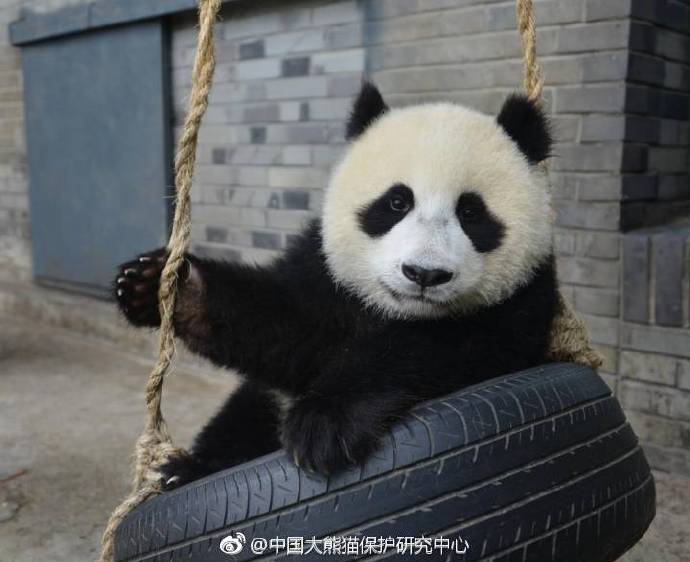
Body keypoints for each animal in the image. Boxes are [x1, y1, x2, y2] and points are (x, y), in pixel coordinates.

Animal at [114, 82, 558, 486]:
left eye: (470, 212)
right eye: (397, 202)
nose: (424, 274)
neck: (402, 313)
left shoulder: (523, 302)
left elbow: (442, 354)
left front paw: (325, 424)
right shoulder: (325, 273)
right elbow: (282, 326)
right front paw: (161, 287)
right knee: (242, 419)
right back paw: (188, 470)